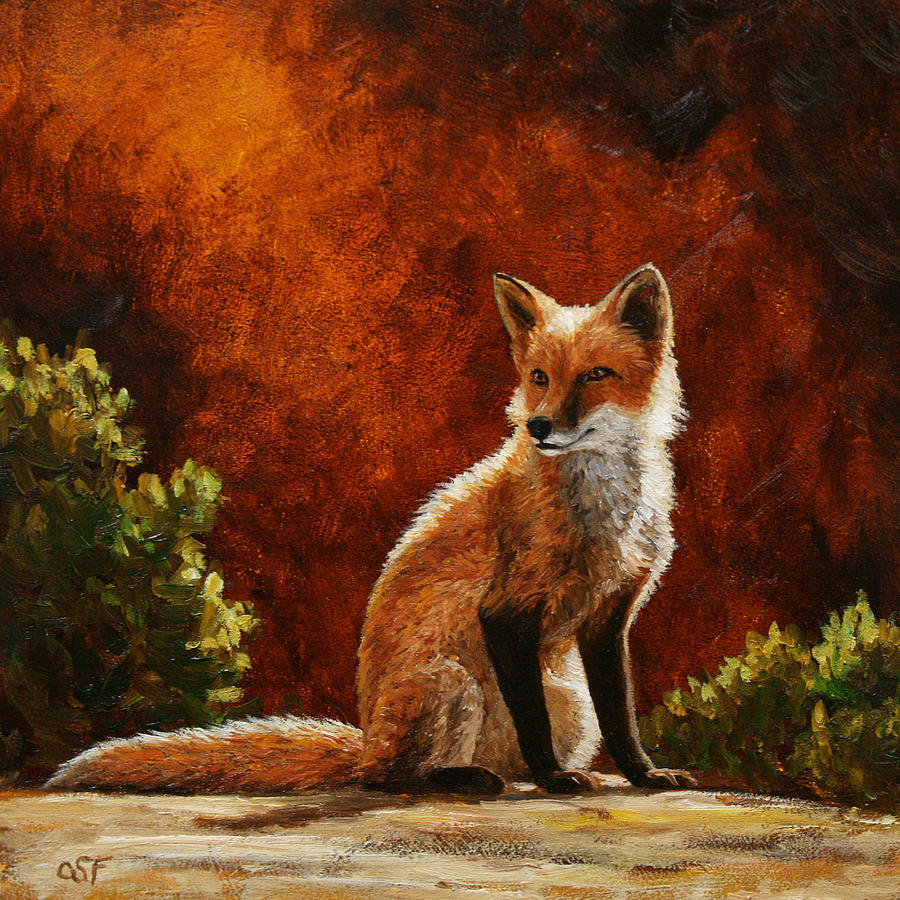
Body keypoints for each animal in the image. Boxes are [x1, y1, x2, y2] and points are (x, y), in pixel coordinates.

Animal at [46, 264, 695, 795]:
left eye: (595, 375)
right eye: (539, 376)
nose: (537, 426)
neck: (604, 507)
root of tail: (364, 739)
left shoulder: (610, 614)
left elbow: (622, 716)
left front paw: (644, 774)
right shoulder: (505, 612)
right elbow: (534, 723)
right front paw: (555, 779)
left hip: (567, 702)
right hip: (450, 683)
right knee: (388, 776)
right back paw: (462, 779)